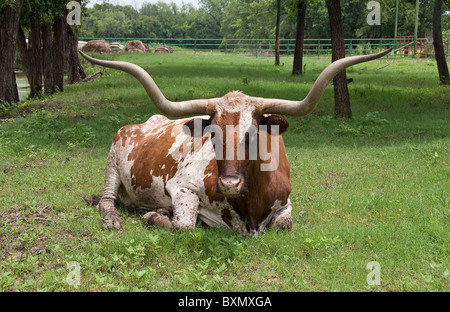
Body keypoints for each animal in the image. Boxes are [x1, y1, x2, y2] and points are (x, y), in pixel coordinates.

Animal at [77, 48, 390, 236]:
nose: (229, 183)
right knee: (107, 200)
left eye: (254, 134)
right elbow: (184, 225)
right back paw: (114, 217)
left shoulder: (287, 201)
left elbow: (285, 223)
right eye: (212, 135)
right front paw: (155, 216)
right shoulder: (180, 186)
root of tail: (143, 122)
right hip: (111, 164)